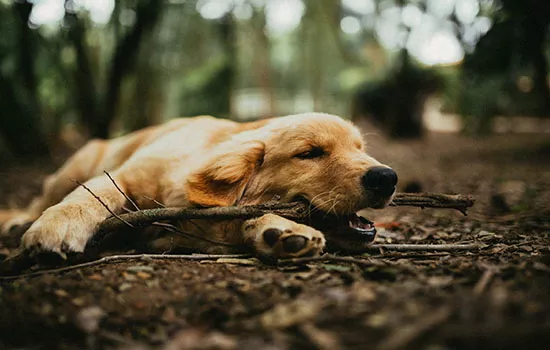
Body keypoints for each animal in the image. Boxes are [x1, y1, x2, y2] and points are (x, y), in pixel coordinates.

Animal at [0, 113, 396, 258]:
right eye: (310, 153)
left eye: (360, 149)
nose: (387, 178)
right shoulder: (126, 175)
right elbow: (92, 196)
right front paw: (58, 224)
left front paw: (278, 230)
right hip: (76, 164)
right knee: (40, 199)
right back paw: (19, 220)